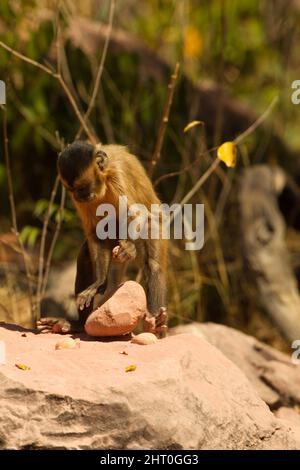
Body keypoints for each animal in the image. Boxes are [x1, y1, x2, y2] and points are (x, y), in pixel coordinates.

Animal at [36, 140, 168, 334]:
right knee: (86, 254)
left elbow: (136, 214)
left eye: (82, 187)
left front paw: (128, 250)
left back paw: (154, 324)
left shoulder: (117, 173)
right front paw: (99, 282)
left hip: (155, 225)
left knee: (153, 263)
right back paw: (78, 324)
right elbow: (95, 233)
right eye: (72, 190)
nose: (79, 196)